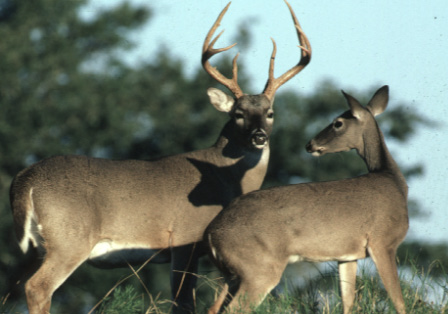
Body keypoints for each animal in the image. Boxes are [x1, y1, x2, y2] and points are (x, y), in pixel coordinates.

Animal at [10, 1, 312, 312]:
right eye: (238, 114)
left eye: (270, 113)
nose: (259, 136)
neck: (222, 176)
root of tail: (25, 180)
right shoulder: (185, 238)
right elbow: (183, 302)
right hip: (69, 238)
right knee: (38, 287)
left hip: (34, 247)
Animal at [206, 84, 410, 312]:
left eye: (337, 123)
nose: (310, 145)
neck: (392, 180)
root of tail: (211, 234)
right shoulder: (383, 241)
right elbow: (399, 302)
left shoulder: (348, 255)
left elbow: (348, 302)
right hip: (259, 268)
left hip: (231, 274)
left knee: (213, 307)